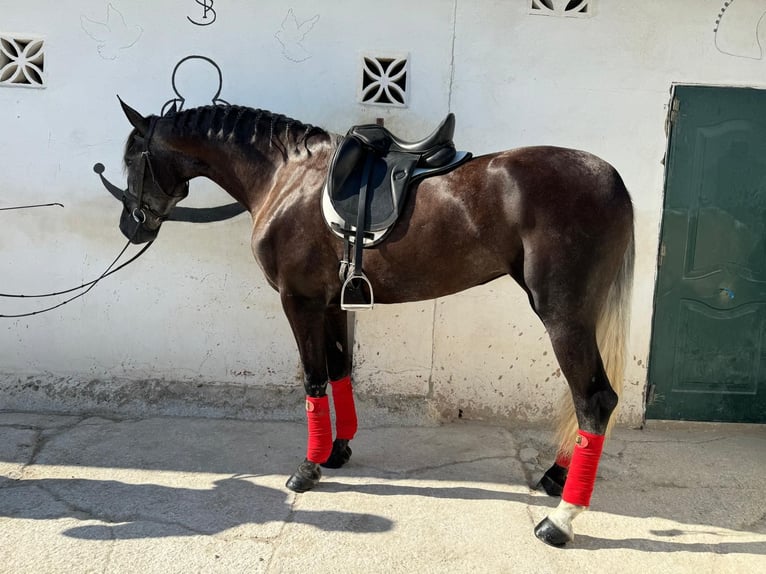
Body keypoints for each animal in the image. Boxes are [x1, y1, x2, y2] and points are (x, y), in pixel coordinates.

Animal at [115, 100, 636, 548]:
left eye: (133, 158)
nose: (132, 226)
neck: (286, 178)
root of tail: (612, 178)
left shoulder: (299, 302)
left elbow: (313, 380)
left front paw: (307, 469)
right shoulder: (331, 304)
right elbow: (340, 371)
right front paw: (336, 451)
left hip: (563, 315)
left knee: (593, 399)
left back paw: (561, 520)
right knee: (583, 399)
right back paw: (555, 479)